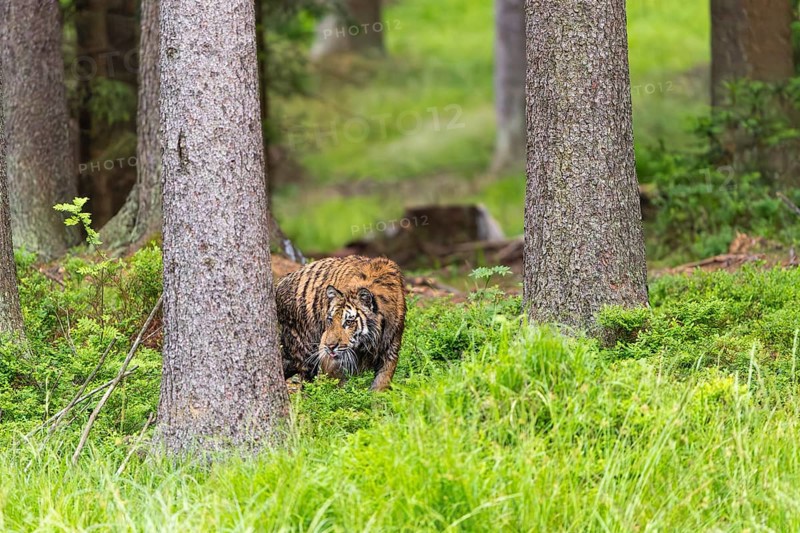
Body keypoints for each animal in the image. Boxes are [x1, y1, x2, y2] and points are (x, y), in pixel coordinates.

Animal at [275, 255, 406, 391]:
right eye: (330, 320)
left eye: (348, 322)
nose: (330, 346)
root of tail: (279, 283)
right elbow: (339, 383)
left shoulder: (391, 348)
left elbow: (382, 380)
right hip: (304, 348)